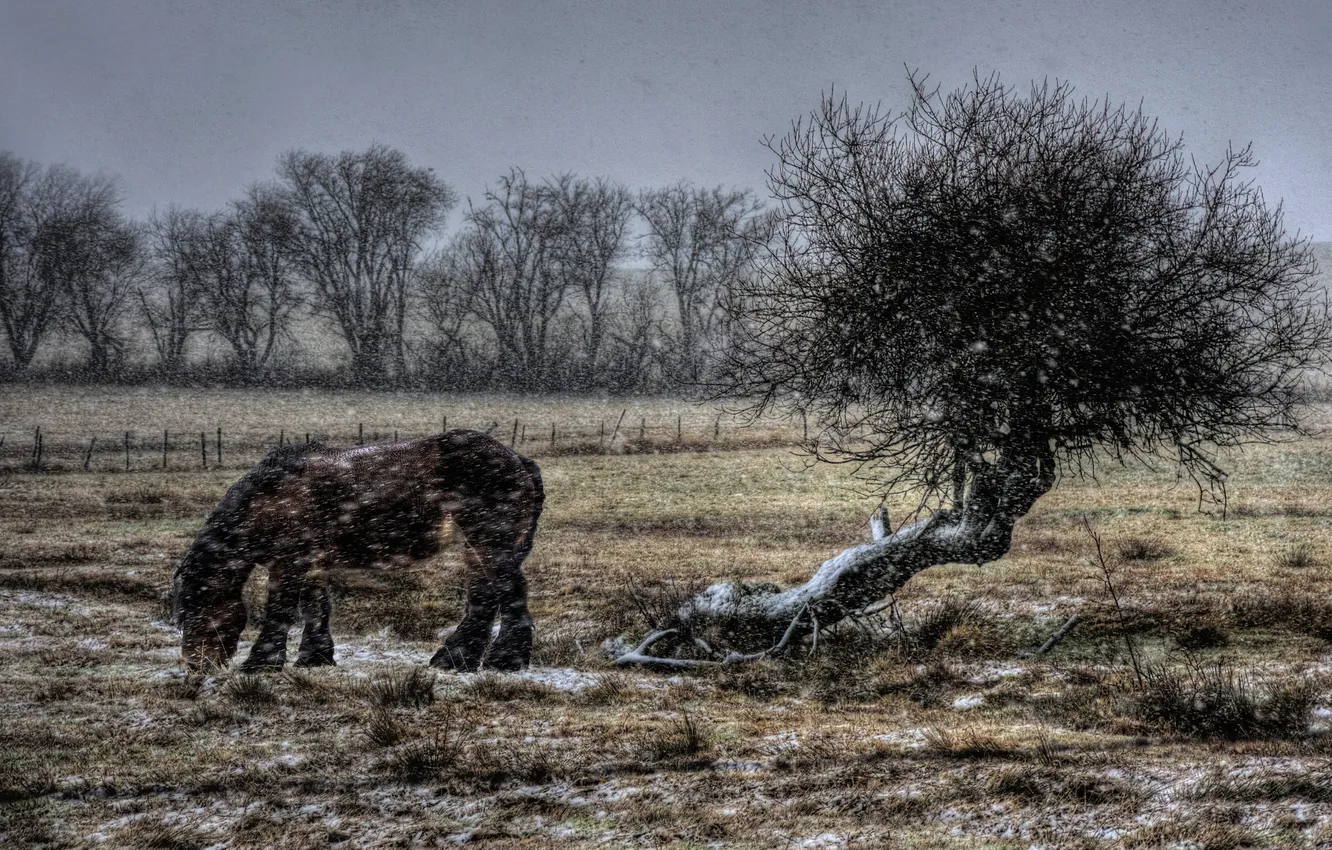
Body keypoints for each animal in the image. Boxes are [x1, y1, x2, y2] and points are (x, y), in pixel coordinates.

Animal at [173, 431, 546, 679]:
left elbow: (279, 611)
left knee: (507, 594)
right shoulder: (311, 565)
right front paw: (314, 658)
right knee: (486, 598)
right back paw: (459, 659)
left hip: (489, 543)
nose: (196, 665)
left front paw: (261, 664)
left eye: (196, 607)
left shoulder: (288, 565)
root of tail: (517, 459)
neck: (270, 498)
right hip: (477, 547)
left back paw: (500, 660)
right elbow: (315, 608)